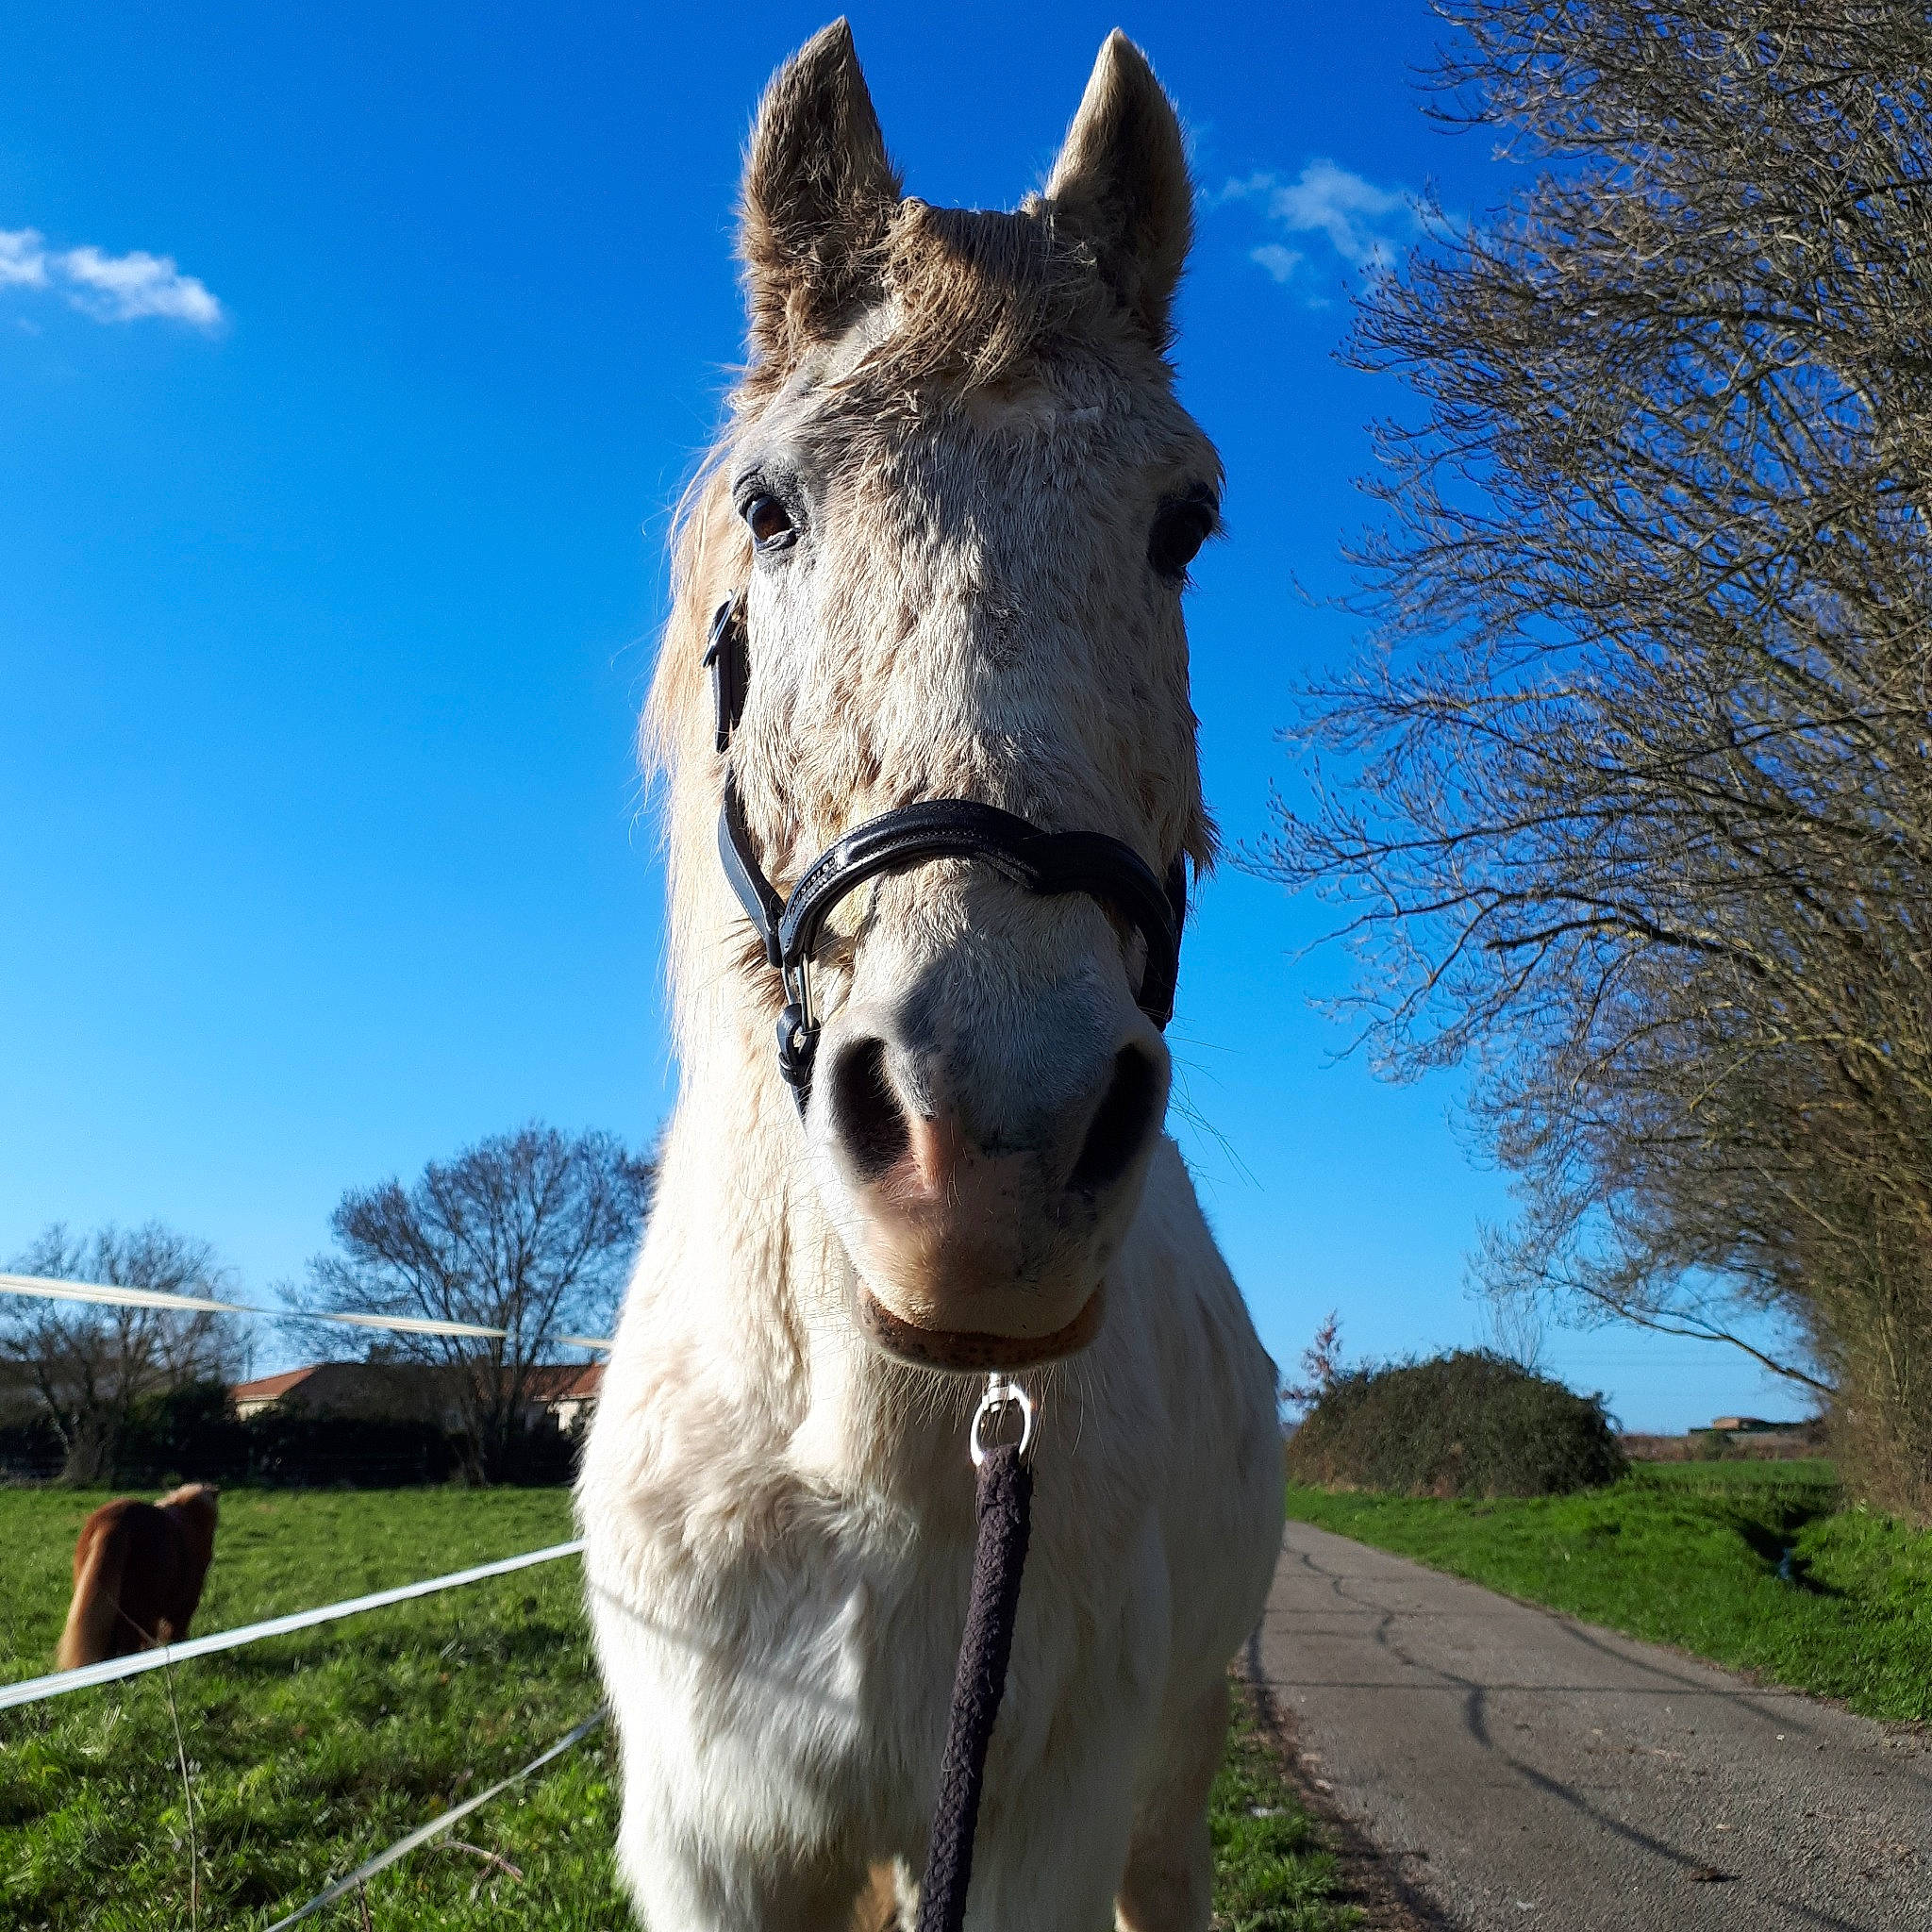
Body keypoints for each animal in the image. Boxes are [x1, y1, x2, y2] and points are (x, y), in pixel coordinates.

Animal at [577, 23, 1283, 1928]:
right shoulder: (716, 1848)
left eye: (1184, 524)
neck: (859, 1457)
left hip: (1171, 1778)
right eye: (771, 507)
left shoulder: (1050, 1824)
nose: (990, 1146)